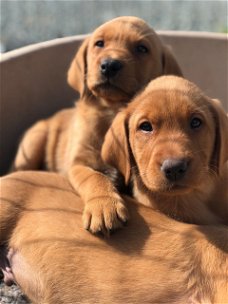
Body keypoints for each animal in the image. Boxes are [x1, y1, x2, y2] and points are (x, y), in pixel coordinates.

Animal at [12, 16, 183, 235]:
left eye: (142, 48)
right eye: (99, 43)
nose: (109, 65)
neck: (111, 111)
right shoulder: (78, 163)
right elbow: (94, 177)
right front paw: (104, 207)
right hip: (34, 141)